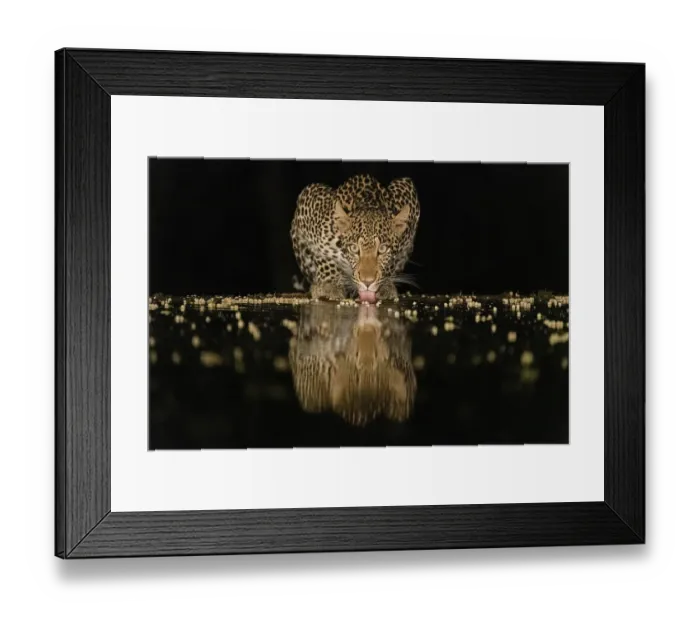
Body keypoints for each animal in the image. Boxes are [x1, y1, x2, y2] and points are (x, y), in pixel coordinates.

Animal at [290, 174, 420, 303]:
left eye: (382, 249)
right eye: (354, 248)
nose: (367, 282)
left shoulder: (409, 192)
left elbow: (394, 262)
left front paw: (385, 285)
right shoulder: (308, 198)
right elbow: (322, 254)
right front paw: (330, 284)